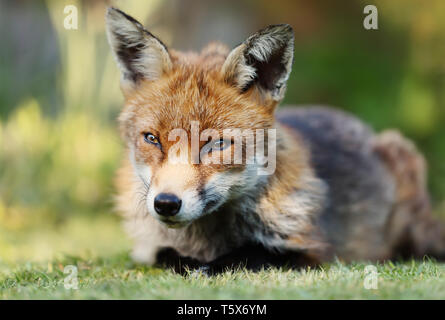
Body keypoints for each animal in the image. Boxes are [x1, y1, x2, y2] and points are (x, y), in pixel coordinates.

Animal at [105, 7, 444, 272]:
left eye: (216, 144)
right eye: (152, 139)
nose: (166, 203)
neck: (205, 242)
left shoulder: (313, 250)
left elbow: (251, 254)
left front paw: (208, 265)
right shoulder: (148, 249)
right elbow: (165, 255)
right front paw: (187, 261)